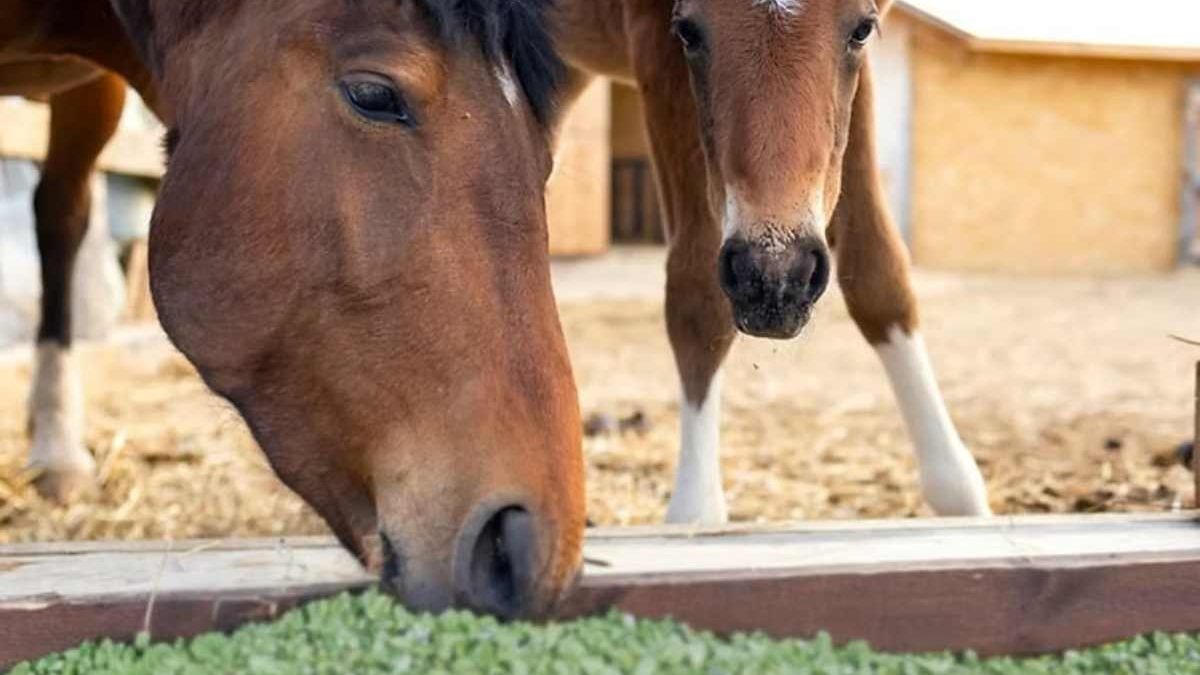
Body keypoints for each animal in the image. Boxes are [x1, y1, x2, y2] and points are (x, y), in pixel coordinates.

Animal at [551, 0, 991, 523]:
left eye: (862, 30)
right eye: (688, 32)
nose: (776, 281)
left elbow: (879, 271)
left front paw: (960, 496)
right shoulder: (653, 42)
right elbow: (698, 297)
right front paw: (696, 513)